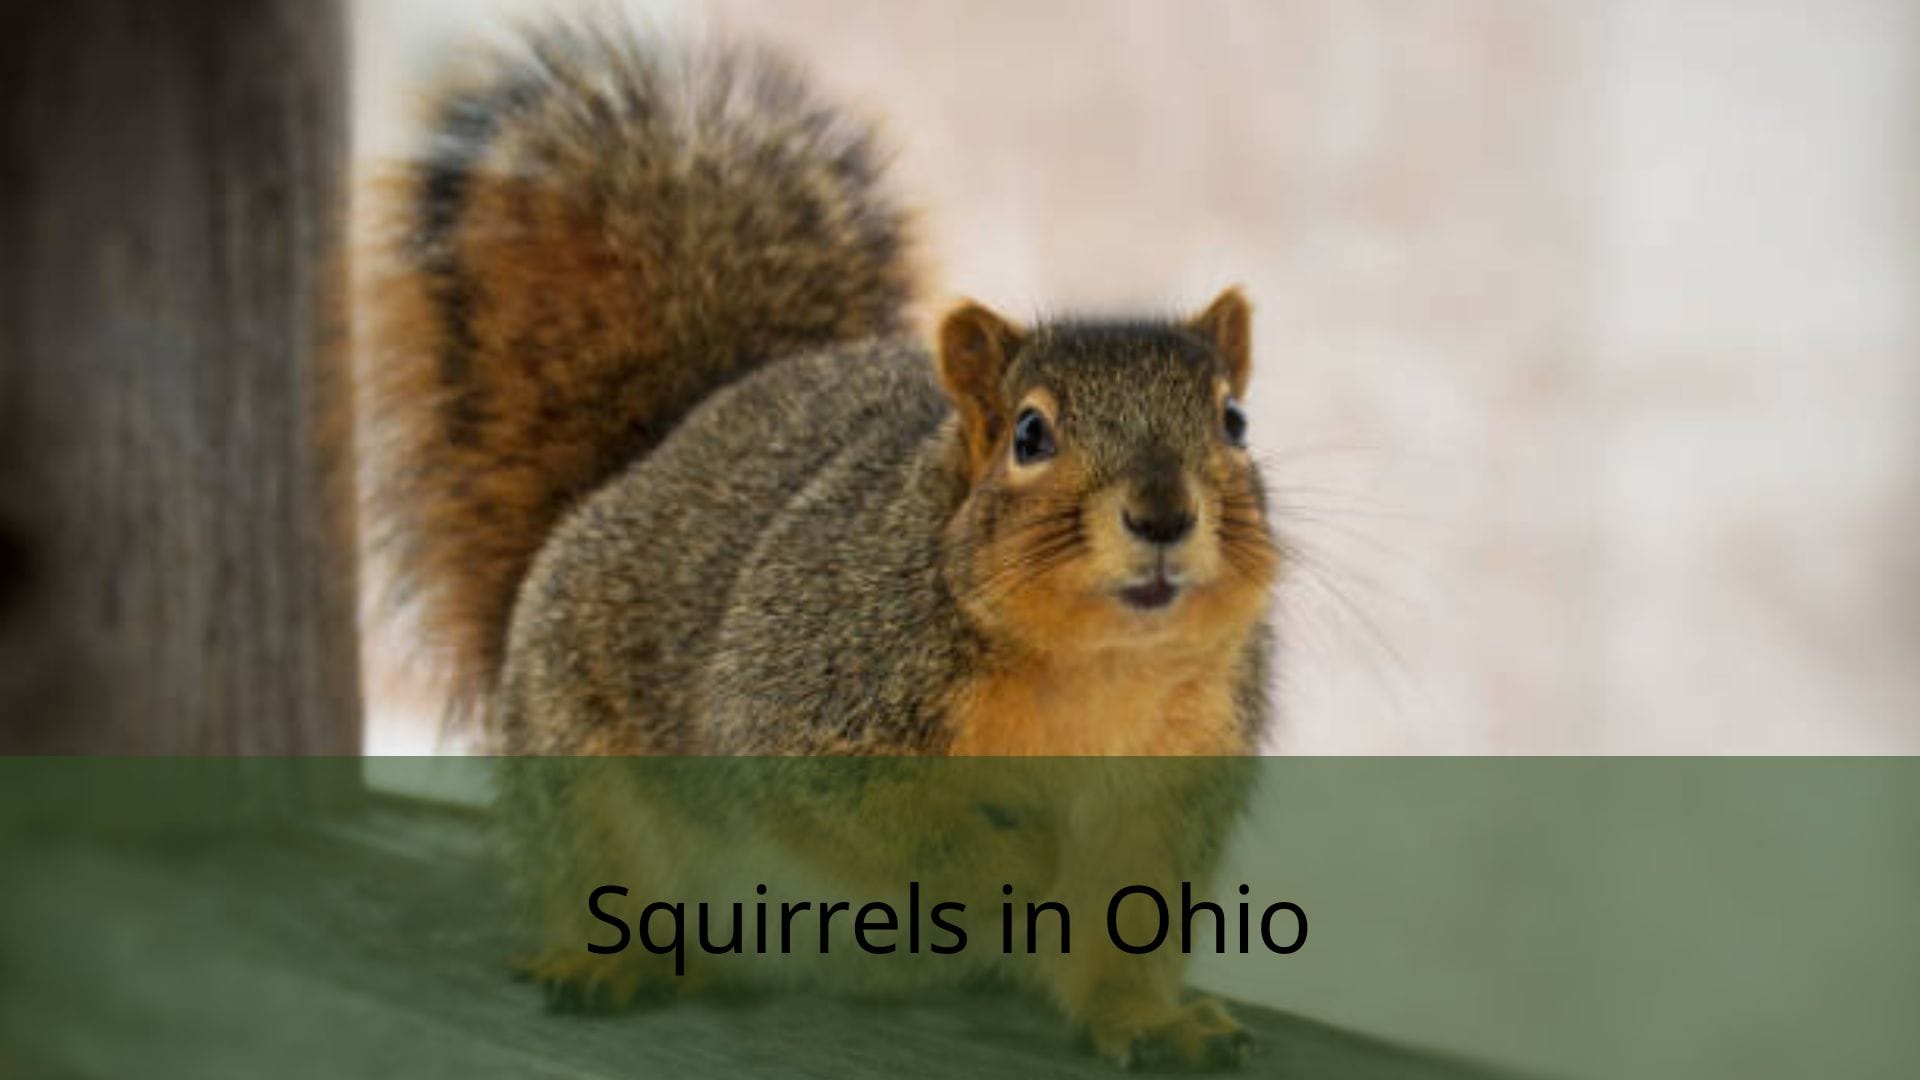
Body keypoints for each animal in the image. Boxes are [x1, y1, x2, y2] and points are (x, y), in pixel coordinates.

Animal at [362, 17, 1280, 1072]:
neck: (1094, 666)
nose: (1164, 515)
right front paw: (1018, 867)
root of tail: (646, 458)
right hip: (577, 769)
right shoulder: (807, 700)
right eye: (1030, 434)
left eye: (1235, 420)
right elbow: (897, 829)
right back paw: (607, 960)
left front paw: (1149, 1018)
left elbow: (1121, 934)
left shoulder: (1168, 790)